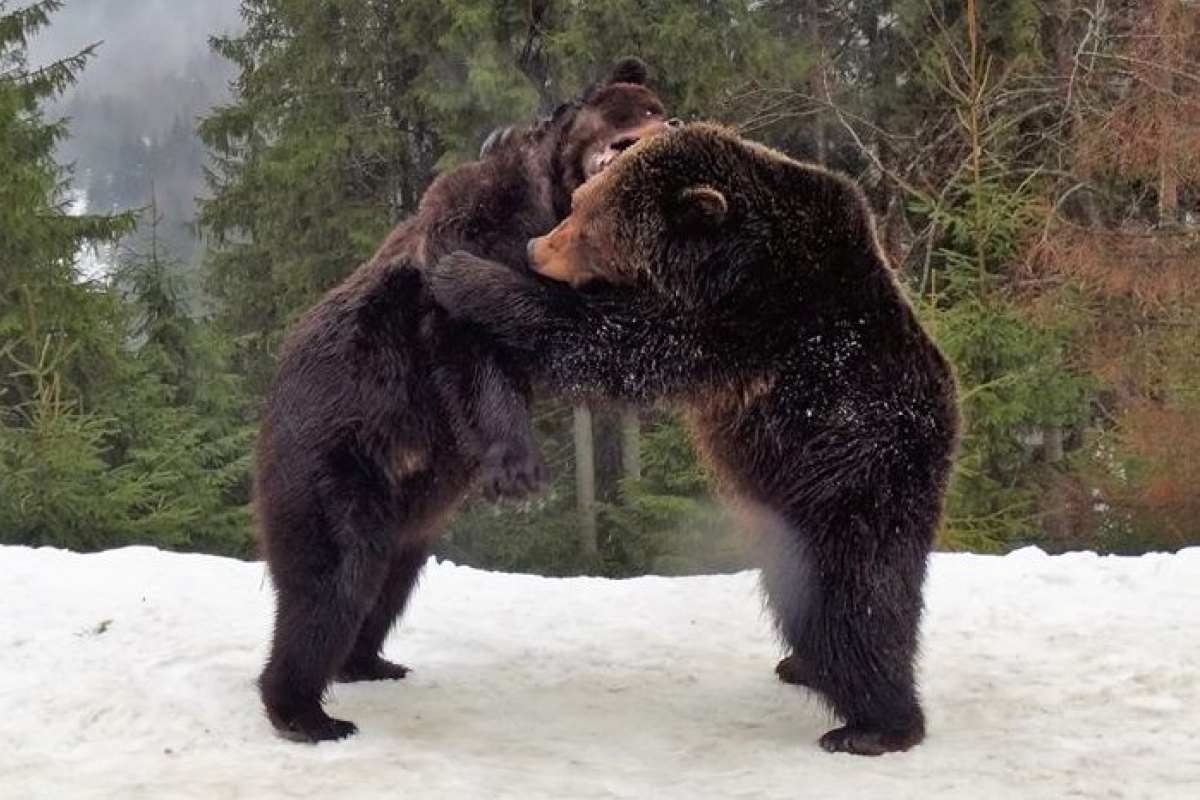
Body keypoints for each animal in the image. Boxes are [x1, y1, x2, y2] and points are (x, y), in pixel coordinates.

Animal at [256, 57, 681, 743]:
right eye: (637, 110)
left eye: (659, 106)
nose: (672, 124)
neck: (550, 206)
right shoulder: (471, 236)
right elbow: (469, 348)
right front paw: (522, 473)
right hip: (335, 456)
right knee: (333, 577)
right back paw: (305, 710)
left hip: (410, 510)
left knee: (388, 583)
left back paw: (367, 661)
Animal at [427, 123, 960, 758]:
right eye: (577, 204)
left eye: (590, 226)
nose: (536, 249)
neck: (722, 259)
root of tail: (947, 430)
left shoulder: (748, 316)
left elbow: (615, 343)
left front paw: (465, 275)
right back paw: (803, 665)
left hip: (854, 476)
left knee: (862, 597)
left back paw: (874, 725)